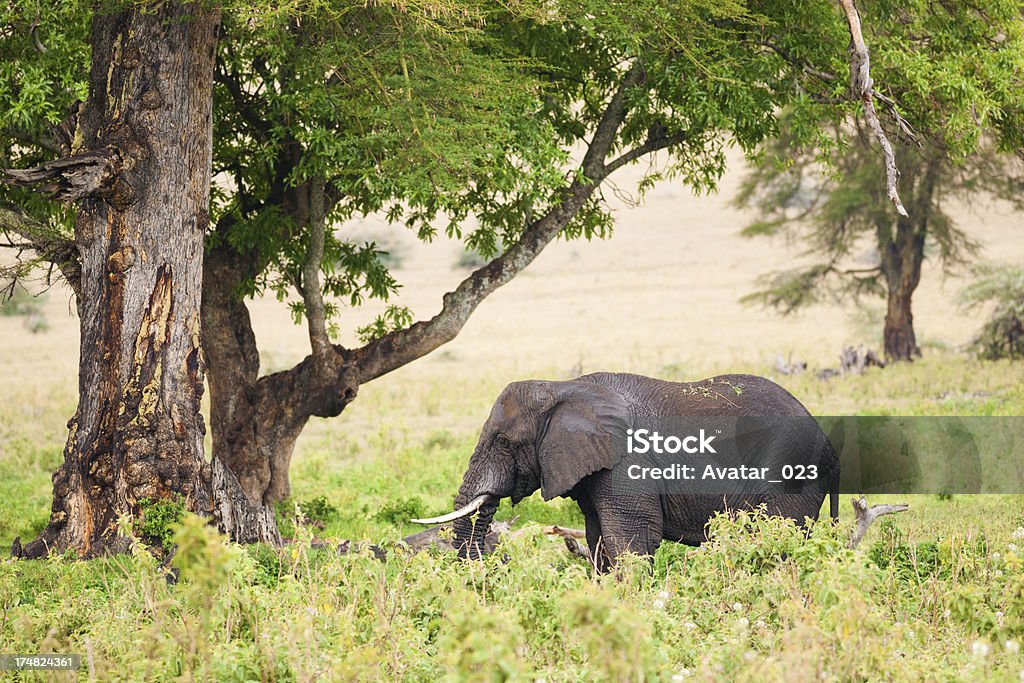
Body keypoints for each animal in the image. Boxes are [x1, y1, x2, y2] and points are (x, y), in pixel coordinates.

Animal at [413, 374, 839, 573]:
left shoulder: (625, 464)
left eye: (503, 441)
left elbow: (632, 537)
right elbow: (598, 538)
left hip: (788, 474)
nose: (496, 562)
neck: (563, 387)